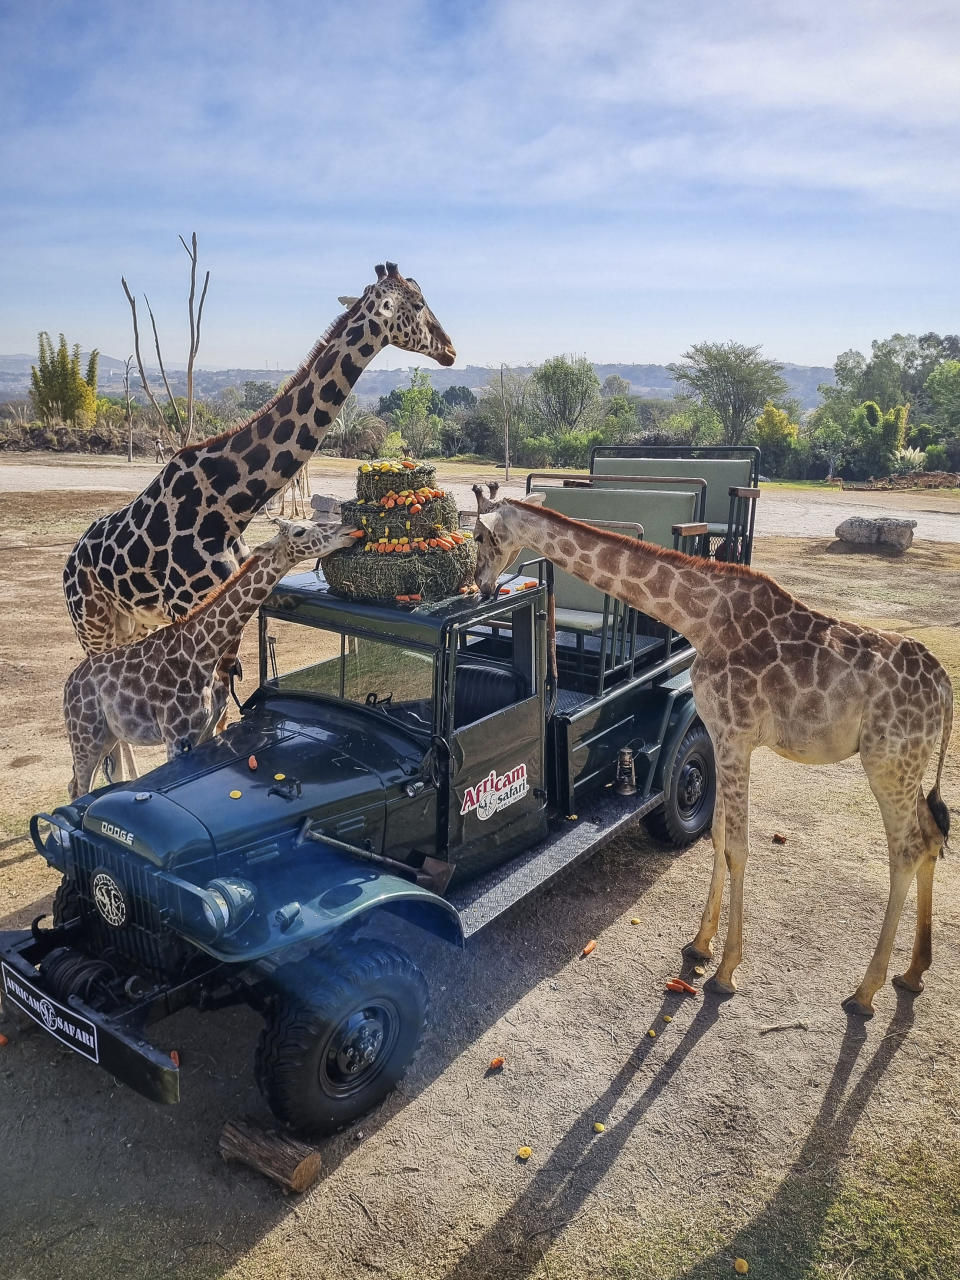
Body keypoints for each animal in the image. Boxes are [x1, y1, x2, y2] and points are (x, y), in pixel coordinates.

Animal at [63, 517, 358, 798]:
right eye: (299, 531)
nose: (348, 532)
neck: (203, 652)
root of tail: (69, 686)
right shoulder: (175, 735)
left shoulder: (205, 729)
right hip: (85, 735)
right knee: (79, 786)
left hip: (107, 735)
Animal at [64, 262, 455, 660]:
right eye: (419, 304)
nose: (450, 349)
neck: (229, 504)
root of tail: (71, 558)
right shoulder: (188, 605)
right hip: (93, 624)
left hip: (134, 622)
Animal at [471, 494, 957, 1013]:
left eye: (479, 536)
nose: (481, 587)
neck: (700, 618)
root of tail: (945, 688)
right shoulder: (724, 738)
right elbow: (721, 838)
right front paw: (700, 946)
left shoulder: (736, 735)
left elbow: (739, 847)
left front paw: (726, 972)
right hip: (907, 767)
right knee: (932, 836)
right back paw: (914, 973)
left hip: (887, 762)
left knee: (906, 849)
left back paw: (865, 992)